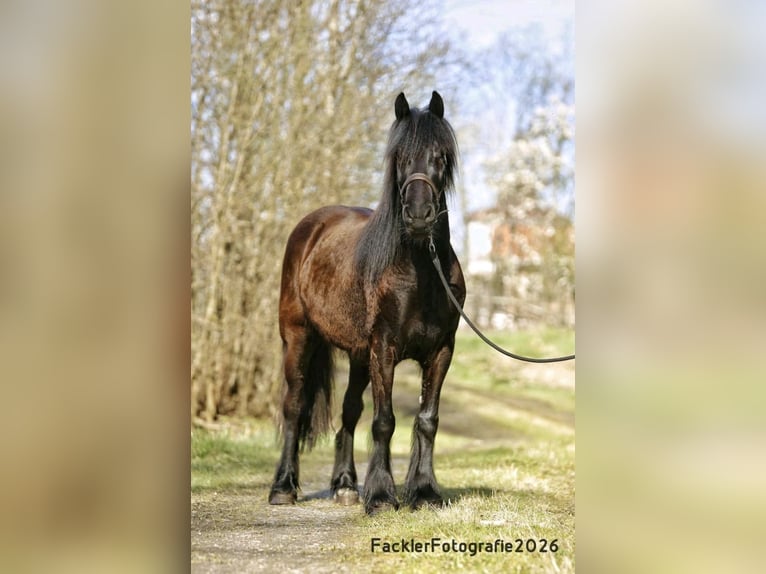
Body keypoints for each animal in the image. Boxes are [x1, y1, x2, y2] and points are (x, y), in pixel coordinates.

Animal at [268, 91, 466, 515]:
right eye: (400, 157)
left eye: (440, 156)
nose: (419, 215)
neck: (421, 271)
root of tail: (311, 226)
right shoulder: (384, 349)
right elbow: (384, 421)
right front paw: (381, 496)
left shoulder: (441, 351)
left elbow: (427, 419)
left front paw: (424, 491)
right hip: (298, 338)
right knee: (294, 405)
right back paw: (283, 487)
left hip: (359, 355)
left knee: (348, 410)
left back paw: (345, 485)